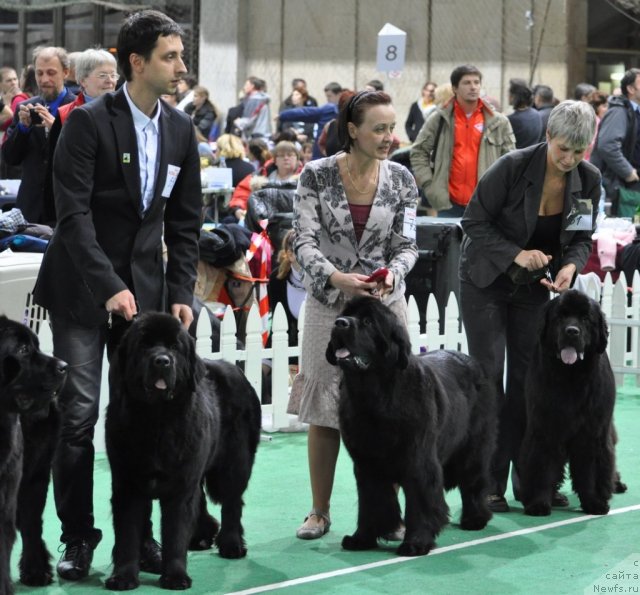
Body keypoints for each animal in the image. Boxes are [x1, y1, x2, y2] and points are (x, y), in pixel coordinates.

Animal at [106, 314, 262, 588]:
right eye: (144, 345)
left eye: (174, 347)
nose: (162, 360)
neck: (156, 420)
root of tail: (236, 369)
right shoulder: (127, 484)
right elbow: (127, 535)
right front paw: (123, 577)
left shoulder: (180, 486)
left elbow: (176, 531)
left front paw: (176, 576)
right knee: (201, 500)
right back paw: (202, 537)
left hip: (234, 463)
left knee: (232, 501)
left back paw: (231, 544)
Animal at [328, 298, 498, 560]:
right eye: (345, 314)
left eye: (368, 321)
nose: (340, 323)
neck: (374, 394)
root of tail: (470, 360)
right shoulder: (366, 464)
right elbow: (370, 501)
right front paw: (362, 538)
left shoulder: (418, 459)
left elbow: (419, 501)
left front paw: (416, 543)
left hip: (474, 447)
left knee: (473, 480)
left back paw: (475, 518)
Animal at [524, 292, 624, 516]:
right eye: (560, 317)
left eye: (586, 319)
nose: (572, 331)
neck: (571, 376)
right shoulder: (545, 427)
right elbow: (542, 465)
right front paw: (539, 503)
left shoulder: (593, 431)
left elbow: (591, 470)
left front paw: (594, 502)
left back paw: (616, 484)